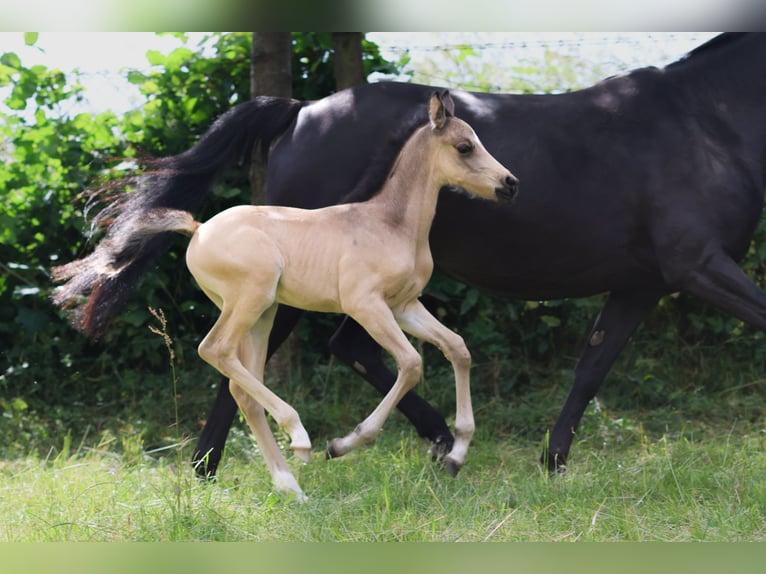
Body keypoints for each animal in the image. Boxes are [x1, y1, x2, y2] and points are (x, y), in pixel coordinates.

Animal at [57, 33, 766, 480]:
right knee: (245, 361)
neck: (706, 120)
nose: (511, 184)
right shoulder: (699, 266)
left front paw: (552, 461)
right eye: (464, 146)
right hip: (287, 292)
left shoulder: (642, 282)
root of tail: (301, 110)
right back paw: (241, 463)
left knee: (316, 354)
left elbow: (589, 369)